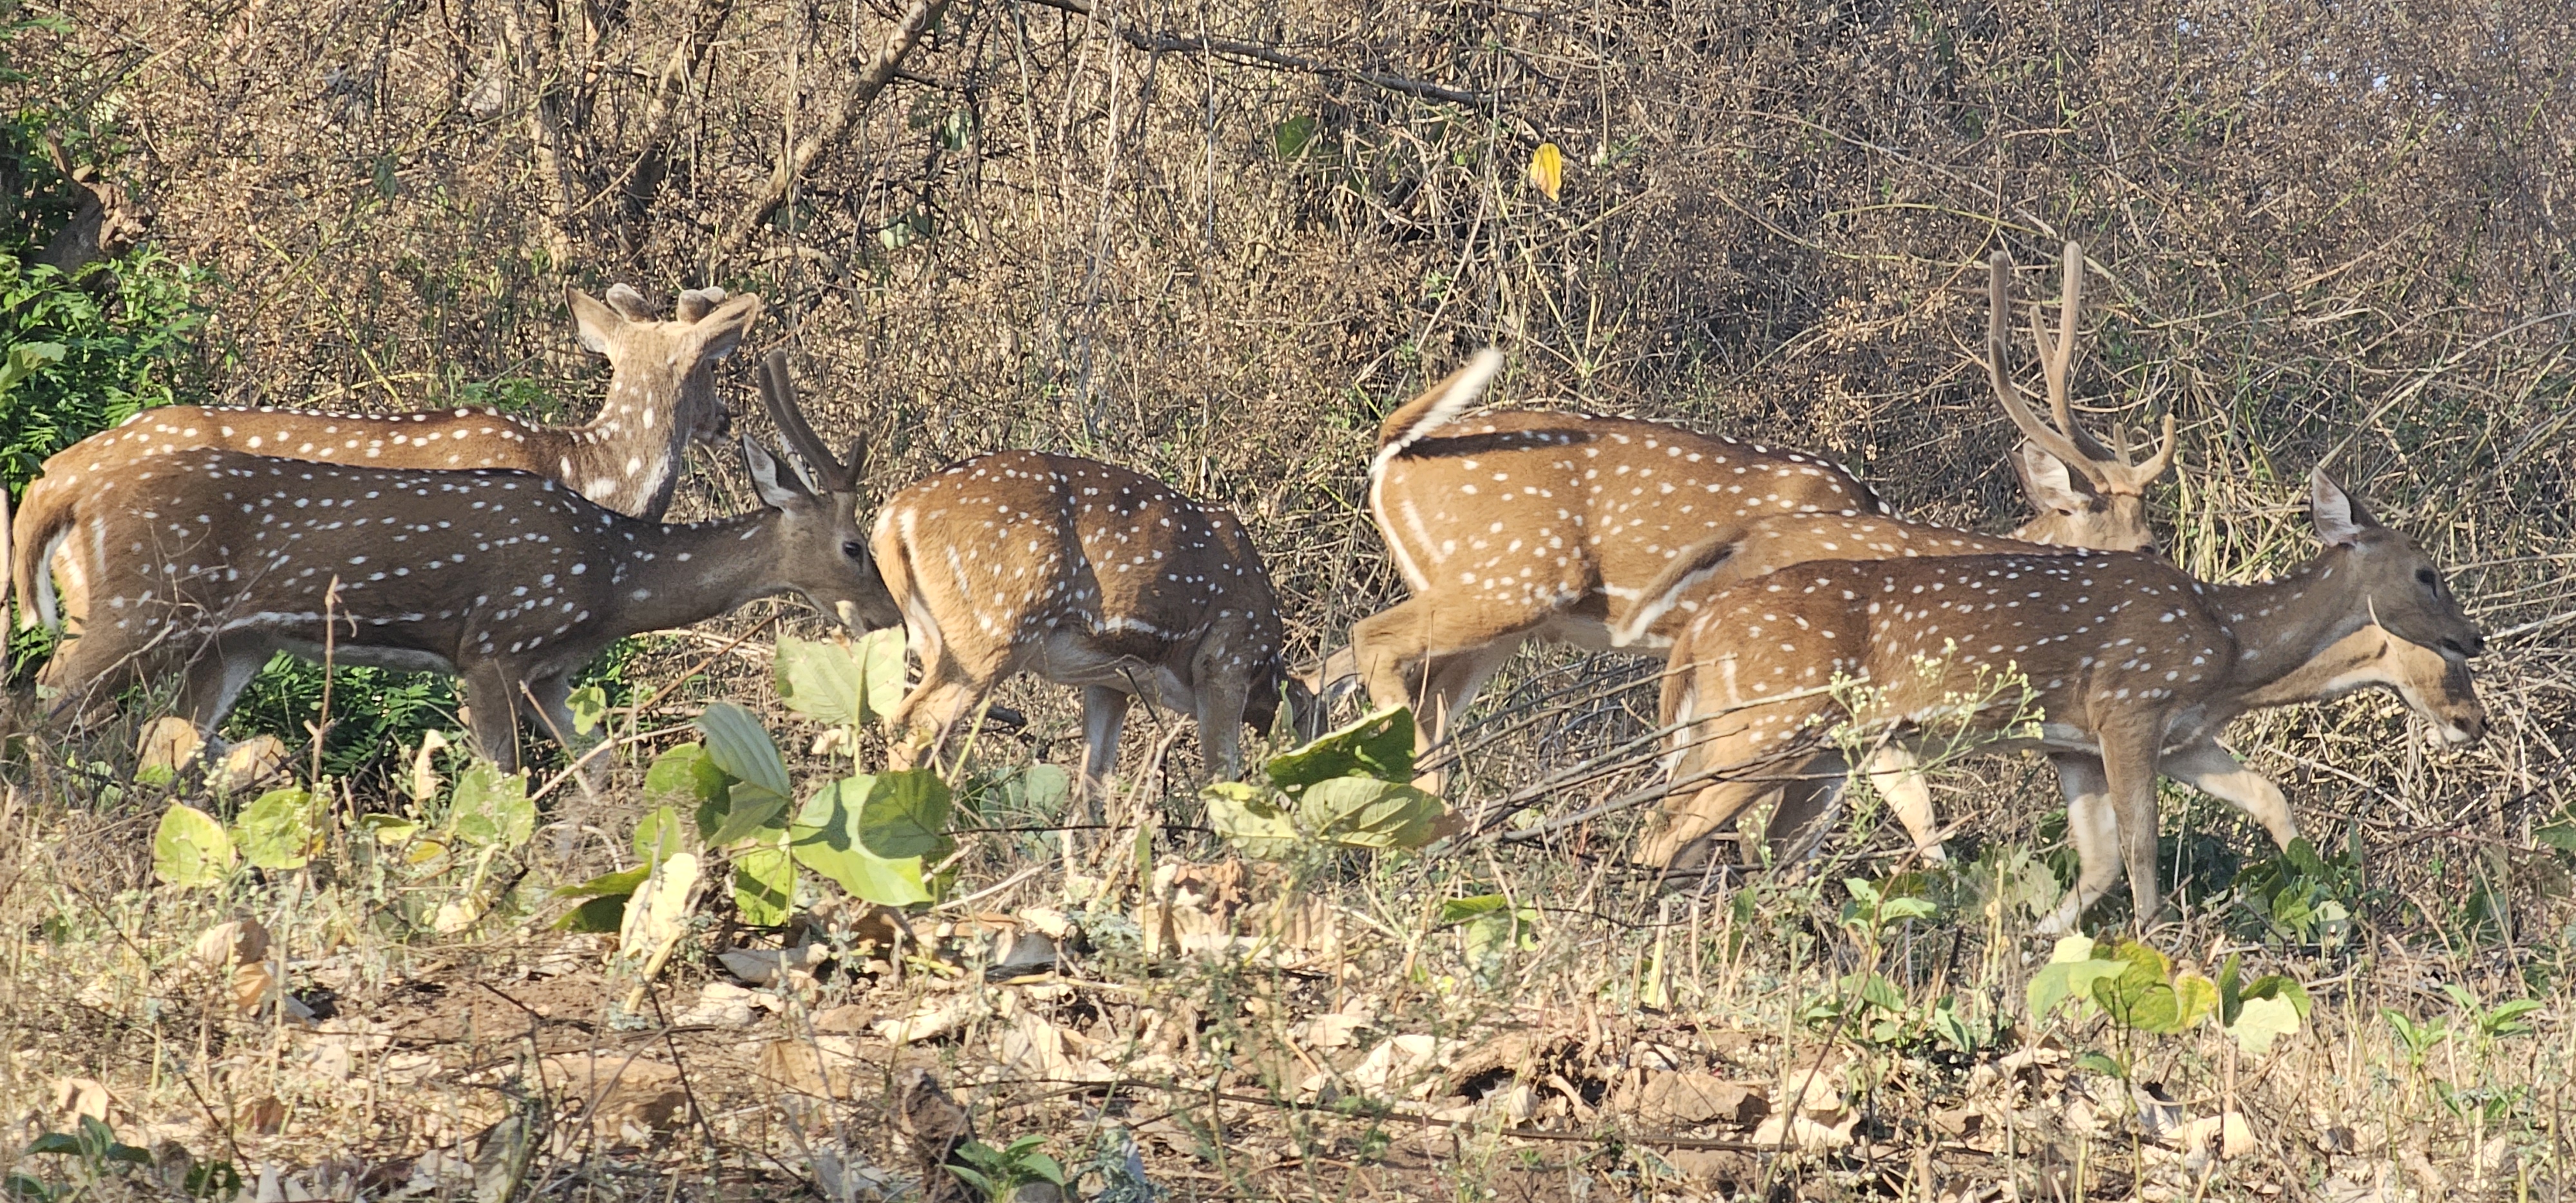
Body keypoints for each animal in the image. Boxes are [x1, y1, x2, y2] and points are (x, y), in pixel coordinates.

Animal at [25, 353, 896, 778]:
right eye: (856, 546)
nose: (888, 616)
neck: (609, 578)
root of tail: (67, 492)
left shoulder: (549, 673)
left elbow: (601, 771)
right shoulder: (494, 644)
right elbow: (500, 780)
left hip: (233, 638)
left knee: (161, 737)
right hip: (142, 604)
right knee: (46, 698)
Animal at [866, 428, 1319, 793]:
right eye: (1320, 726)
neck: (1265, 667)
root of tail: (894, 519)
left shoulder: (1112, 681)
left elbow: (1093, 779)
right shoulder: (1224, 660)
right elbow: (1221, 774)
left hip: (933, 636)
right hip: (995, 626)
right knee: (916, 719)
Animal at [1649, 471, 2473, 933]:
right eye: (2427, 572)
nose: (2477, 642)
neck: (2228, 643)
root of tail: (1697, 630)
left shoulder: (2117, 740)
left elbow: (2133, 844)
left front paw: (2037, 933)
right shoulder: (2128, 701)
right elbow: (2140, 845)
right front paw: (2154, 944)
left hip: (1819, 750)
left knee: (1753, 848)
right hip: (1766, 721)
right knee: (1670, 833)